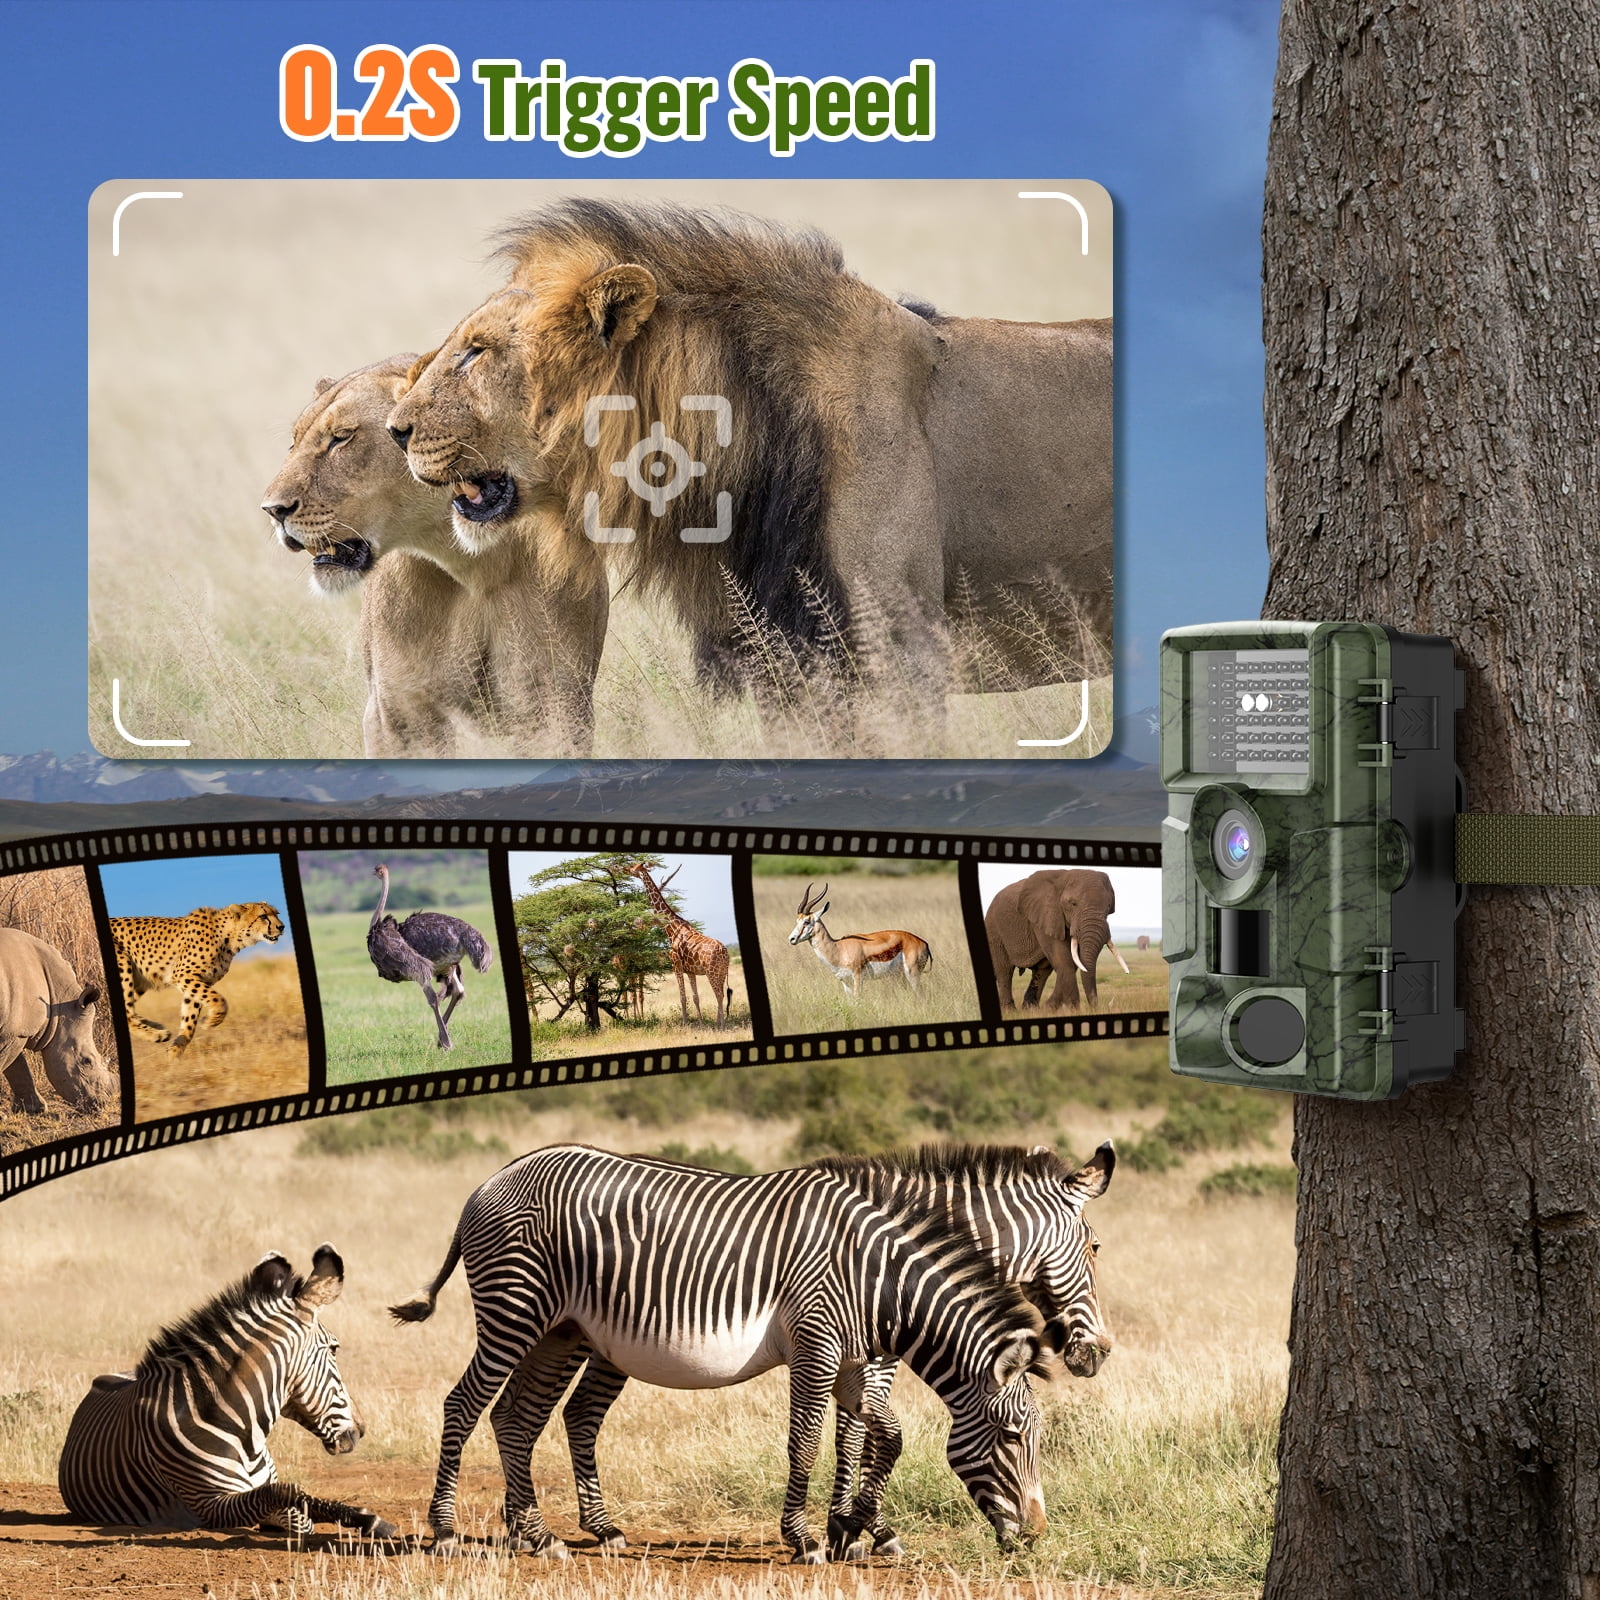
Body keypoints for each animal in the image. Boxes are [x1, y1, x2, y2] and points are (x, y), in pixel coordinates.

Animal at [788, 882, 933, 999]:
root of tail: (923, 943)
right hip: (901, 976)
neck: (838, 949)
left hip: (912, 974)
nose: (791, 939)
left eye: (807, 921)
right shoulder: (845, 981)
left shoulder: (857, 977)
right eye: (797, 921)